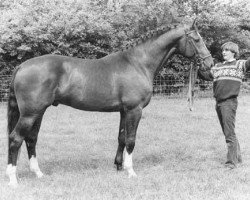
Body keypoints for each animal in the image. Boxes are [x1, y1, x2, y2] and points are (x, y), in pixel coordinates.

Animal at [5, 20, 213, 186]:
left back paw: (38, 173)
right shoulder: (134, 110)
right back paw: (13, 179)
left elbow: (121, 138)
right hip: (31, 113)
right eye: (197, 40)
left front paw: (119, 166)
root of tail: (21, 66)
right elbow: (131, 140)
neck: (138, 64)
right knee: (16, 138)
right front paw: (131, 171)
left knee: (31, 139)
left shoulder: (124, 111)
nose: (210, 66)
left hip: (38, 112)